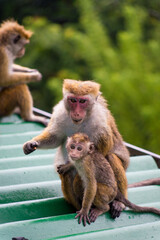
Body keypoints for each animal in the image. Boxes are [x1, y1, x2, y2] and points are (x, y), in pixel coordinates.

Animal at [22, 78, 130, 218]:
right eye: (73, 100)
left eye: (82, 101)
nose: (77, 112)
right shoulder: (60, 114)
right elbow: (55, 138)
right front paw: (32, 143)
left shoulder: (100, 122)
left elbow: (102, 150)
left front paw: (70, 164)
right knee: (67, 174)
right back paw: (81, 206)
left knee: (110, 156)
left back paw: (118, 203)